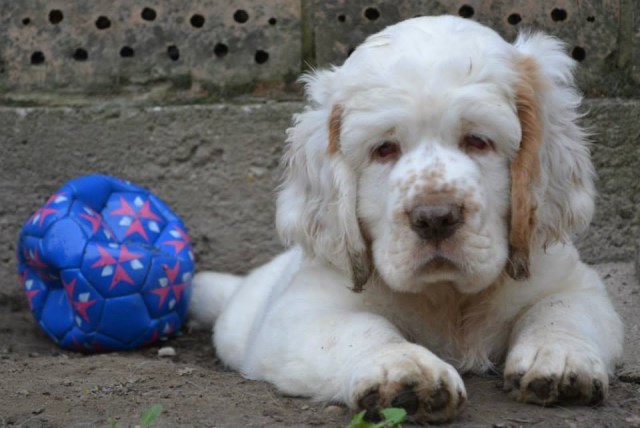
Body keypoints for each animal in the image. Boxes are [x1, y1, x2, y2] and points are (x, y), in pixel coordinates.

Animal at [189, 15, 620, 422]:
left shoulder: (572, 281)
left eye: (478, 141)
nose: (435, 218)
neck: (448, 297)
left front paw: (561, 358)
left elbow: (560, 310)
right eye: (384, 149)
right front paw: (403, 369)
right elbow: (361, 330)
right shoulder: (299, 313)